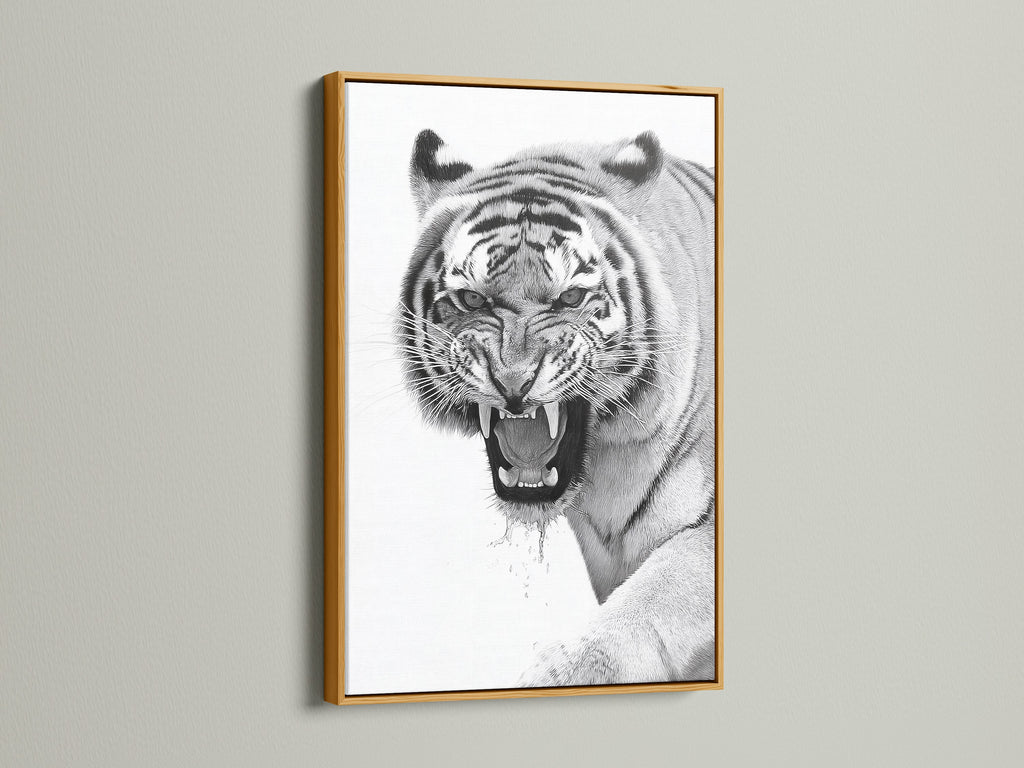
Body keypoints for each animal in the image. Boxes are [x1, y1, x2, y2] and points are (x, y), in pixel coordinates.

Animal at [397, 127, 716, 687]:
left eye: (569, 299)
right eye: (473, 300)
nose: (513, 381)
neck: (613, 468)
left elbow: (659, 596)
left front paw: (560, 672)